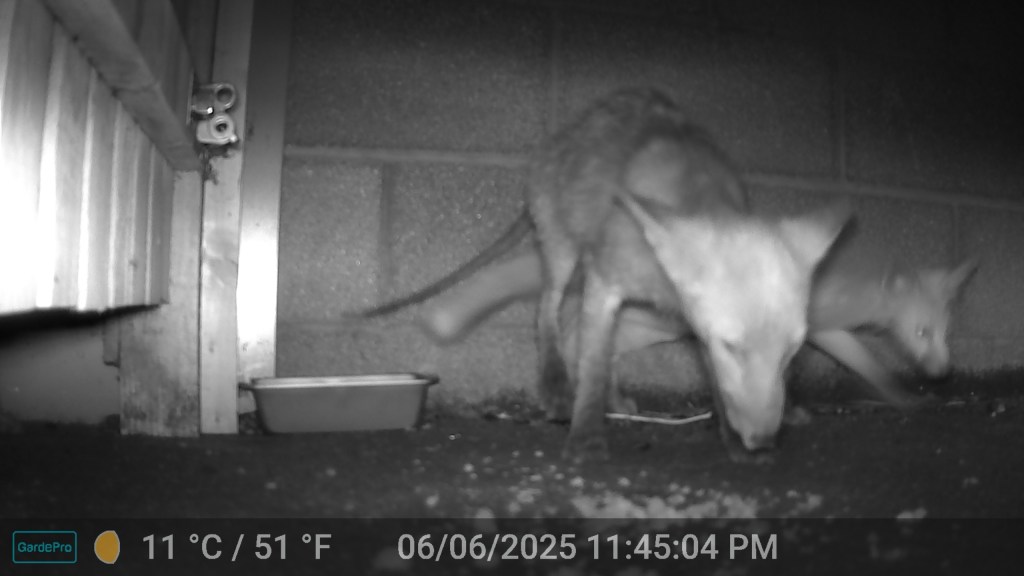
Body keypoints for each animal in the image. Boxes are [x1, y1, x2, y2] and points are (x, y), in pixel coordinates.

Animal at [358, 89, 849, 462]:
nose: (763, 442)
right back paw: (558, 389)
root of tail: (564, 133)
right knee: (549, 312)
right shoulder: (607, 283)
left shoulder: (686, 318)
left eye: (792, 353)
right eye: (733, 346)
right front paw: (587, 435)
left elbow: (708, 380)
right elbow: (591, 364)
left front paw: (731, 435)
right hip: (564, 253)